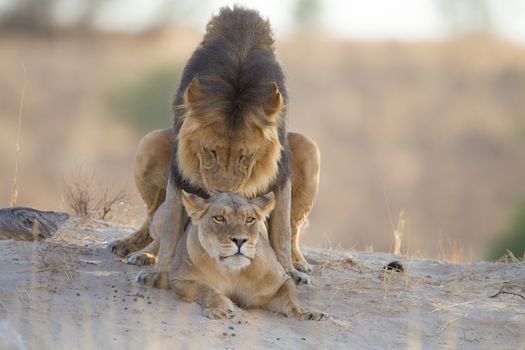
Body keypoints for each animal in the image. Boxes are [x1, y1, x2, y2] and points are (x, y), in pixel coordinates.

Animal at [108, 6, 320, 288]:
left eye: (245, 157)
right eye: (211, 151)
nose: (223, 193)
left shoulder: (281, 170)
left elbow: (283, 232)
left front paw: (288, 271)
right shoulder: (179, 171)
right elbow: (171, 228)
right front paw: (158, 272)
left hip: (309, 148)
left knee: (294, 230)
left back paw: (299, 264)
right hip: (149, 142)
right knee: (154, 220)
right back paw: (138, 251)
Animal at [165, 190, 328, 322]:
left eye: (249, 219)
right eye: (219, 218)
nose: (240, 240)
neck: (232, 271)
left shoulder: (279, 282)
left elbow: (291, 297)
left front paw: (307, 313)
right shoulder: (179, 279)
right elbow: (205, 289)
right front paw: (221, 309)